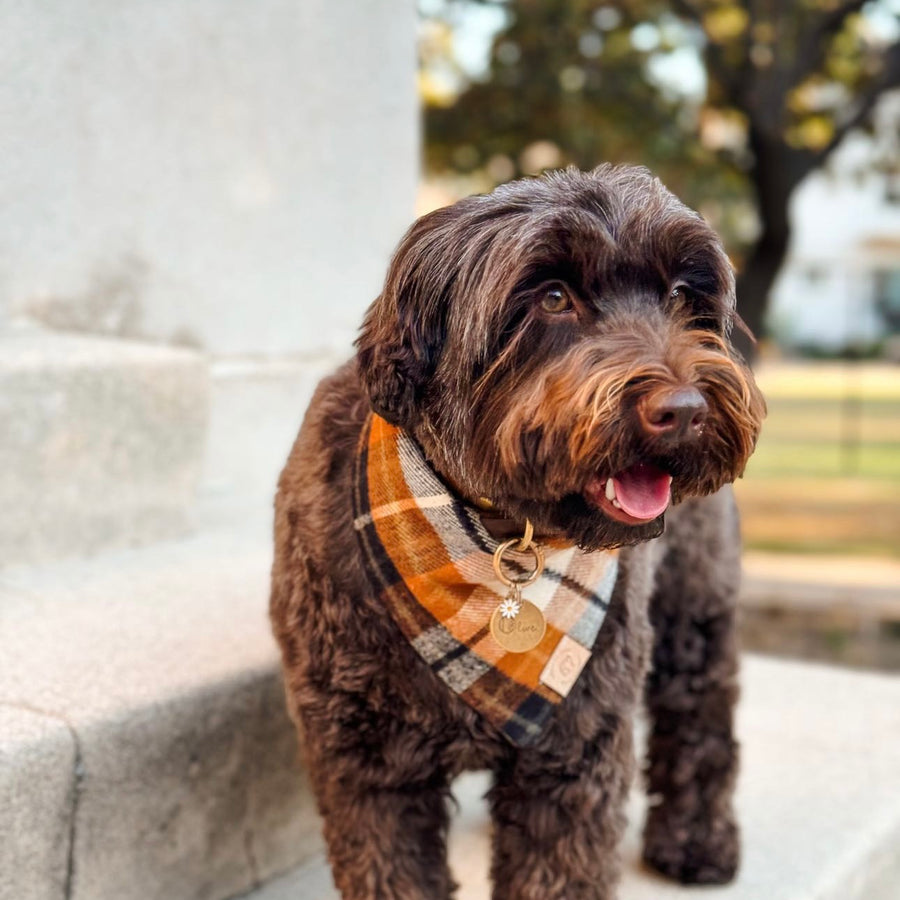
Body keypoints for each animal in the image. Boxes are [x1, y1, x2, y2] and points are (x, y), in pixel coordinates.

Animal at [270, 165, 764, 896]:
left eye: (681, 293)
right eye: (553, 297)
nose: (684, 409)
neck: (502, 533)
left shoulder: (575, 747)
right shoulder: (364, 757)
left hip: (693, 604)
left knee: (700, 712)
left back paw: (698, 841)